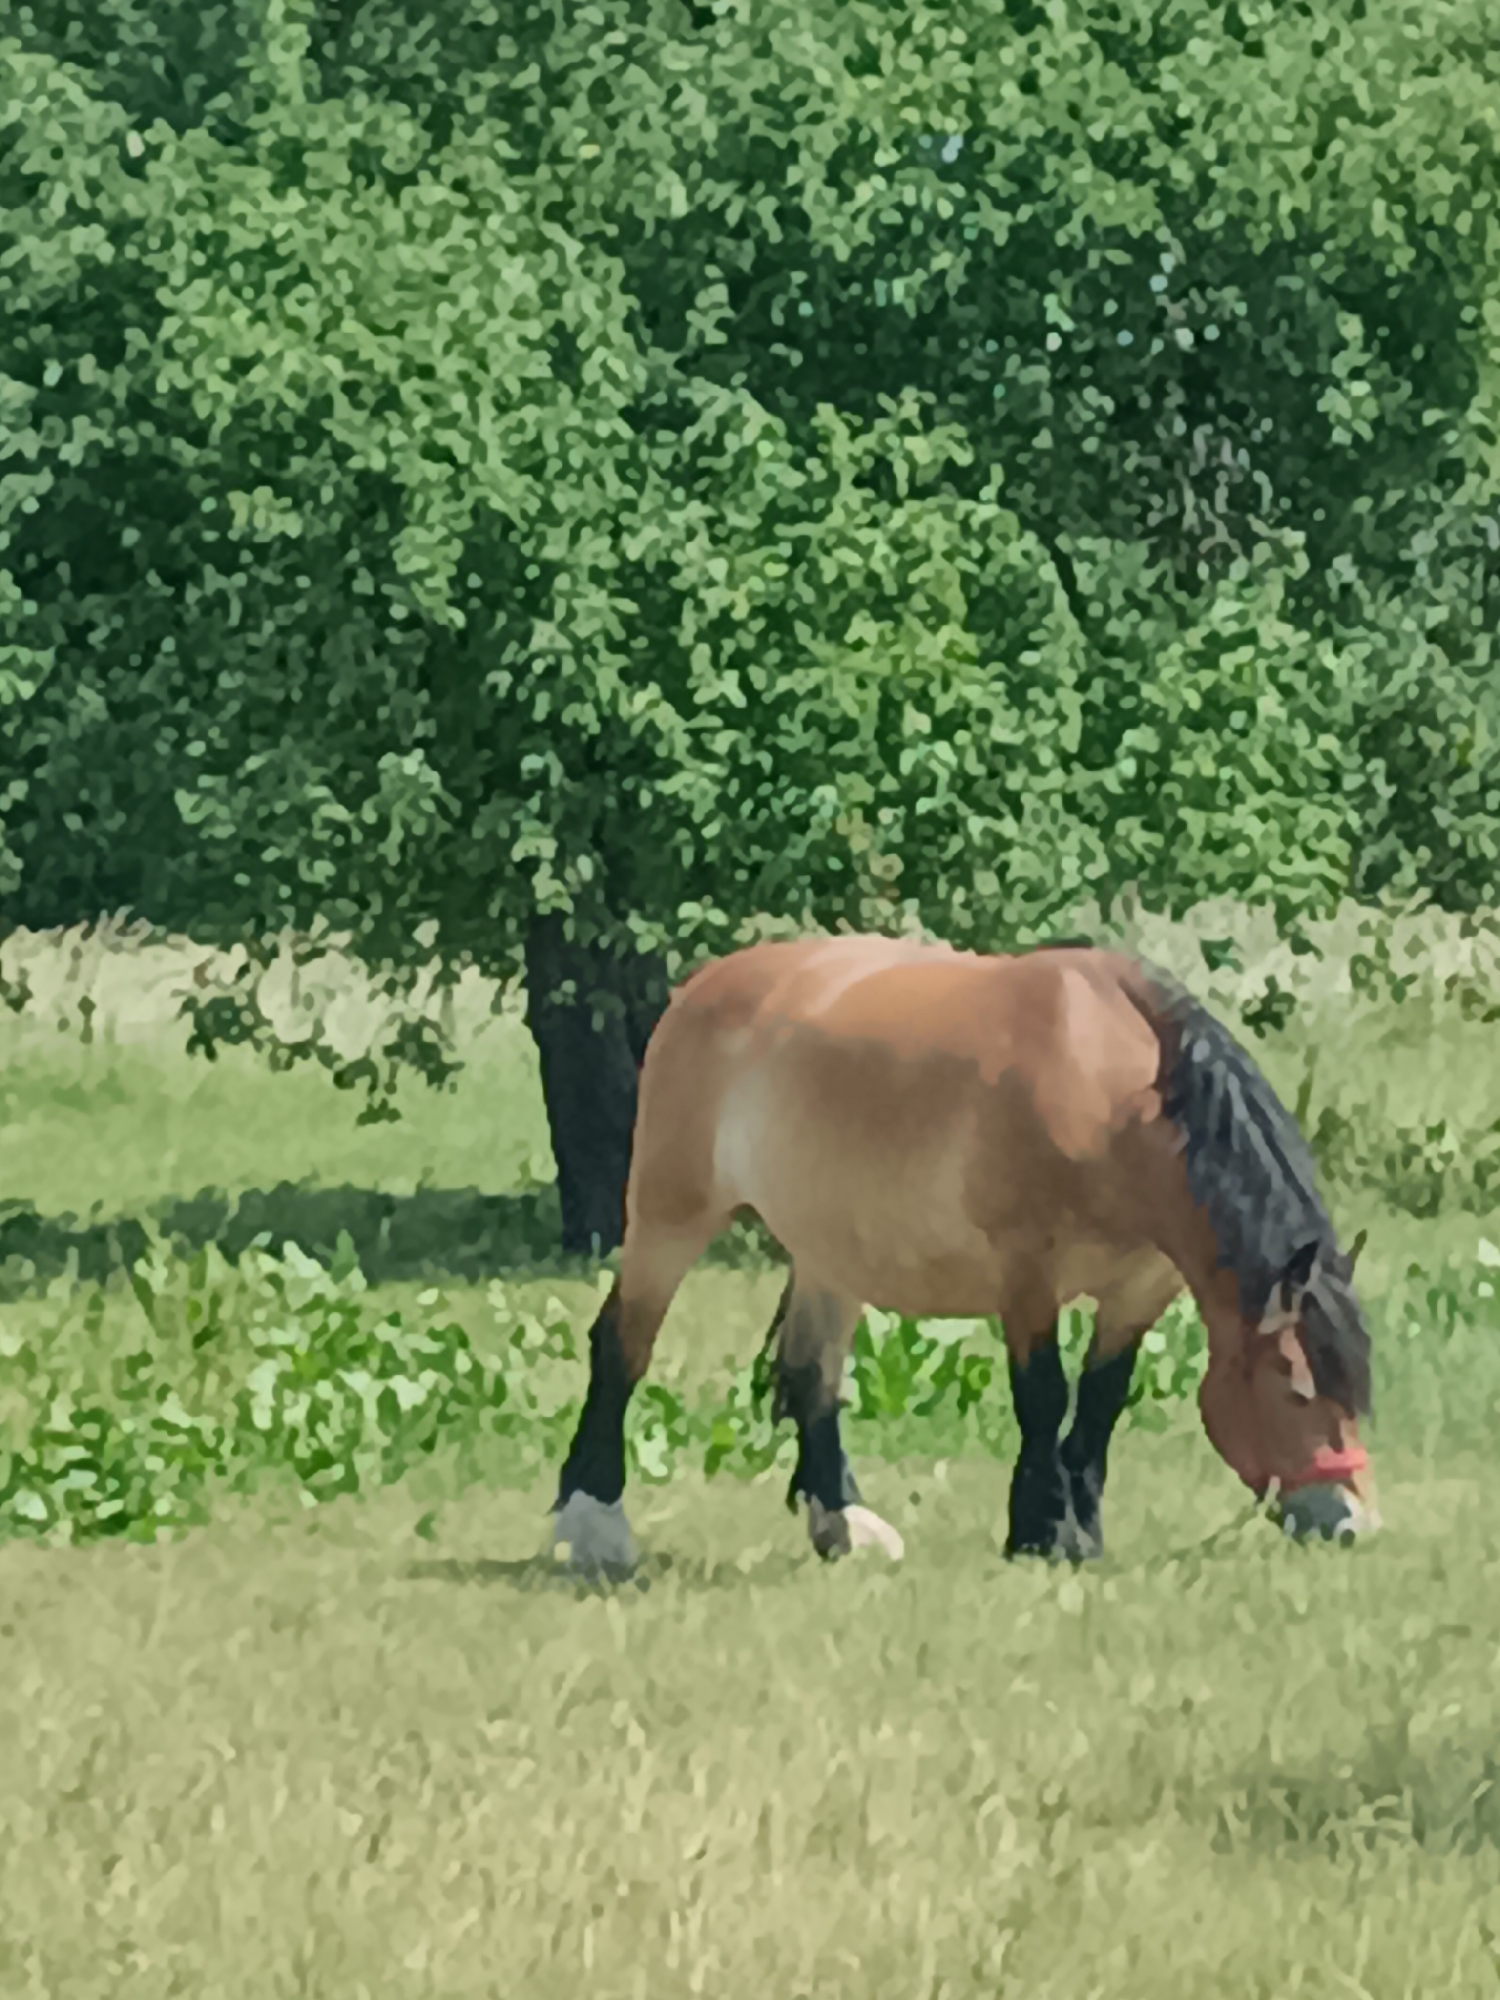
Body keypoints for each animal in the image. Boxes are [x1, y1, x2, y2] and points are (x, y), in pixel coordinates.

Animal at [549, 934, 1378, 1571]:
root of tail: (703, 986)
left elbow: (1100, 1402)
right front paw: (1041, 1533)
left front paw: (1082, 1531)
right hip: (668, 1221)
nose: (1351, 1522)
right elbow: (1044, 1397)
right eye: (1295, 1389)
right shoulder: (1027, 1279)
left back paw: (844, 1523)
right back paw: (592, 1525)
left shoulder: (1141, 1289)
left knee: (812, 1374)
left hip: (829, 1253)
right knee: (622, 1348)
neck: (1110, 1090)